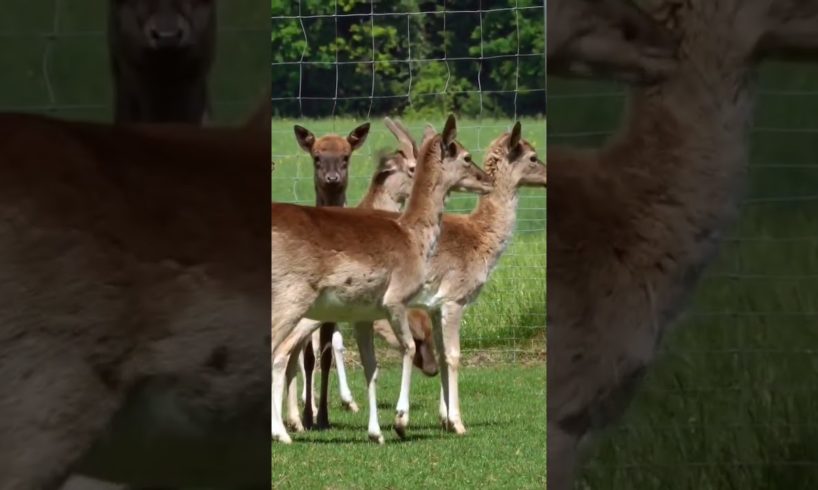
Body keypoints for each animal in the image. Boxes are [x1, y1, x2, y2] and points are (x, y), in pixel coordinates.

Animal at [272, 115, 490, 444]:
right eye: (466, 156)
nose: (486, 178)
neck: (413, 237)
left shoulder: (364, 314)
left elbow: (371, 367)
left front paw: (376, 432)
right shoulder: (395, 300)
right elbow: (408, 348)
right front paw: (400, 421)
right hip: (292, 299)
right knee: (277, 354)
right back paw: (283, 432)